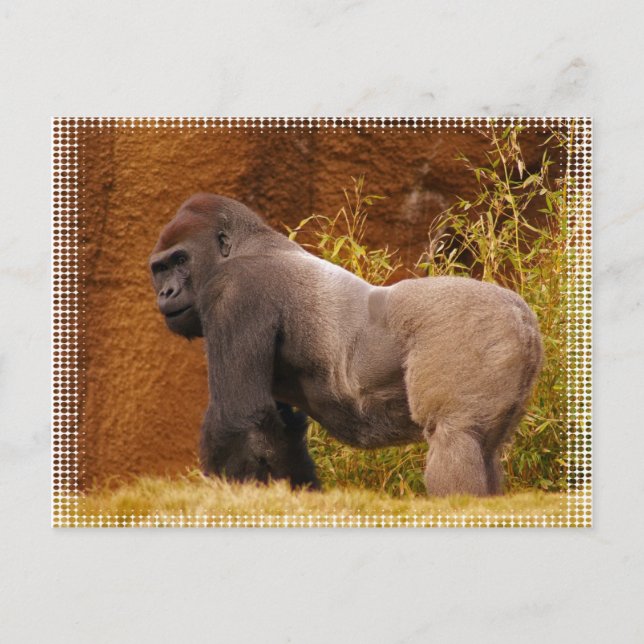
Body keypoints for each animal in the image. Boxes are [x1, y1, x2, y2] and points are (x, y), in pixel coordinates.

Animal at [149, 193, 543, 496]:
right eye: (159, 269)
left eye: (180, 260)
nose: (166, 292)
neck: (245, 245)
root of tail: (520, 313)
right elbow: (279, 433)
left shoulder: (234, 291)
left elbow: (239, 417)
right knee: (485, 448)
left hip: (471, 325)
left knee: (455, 436)